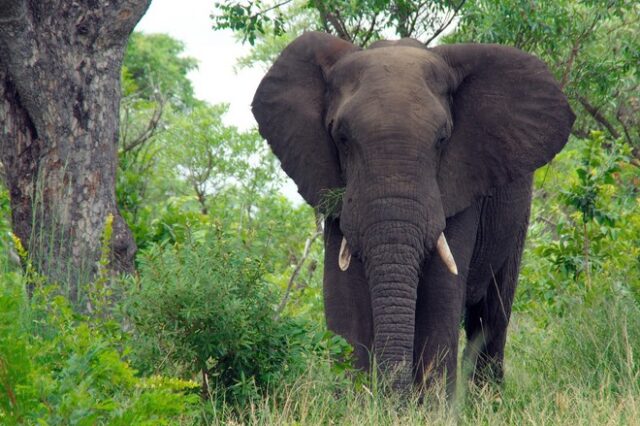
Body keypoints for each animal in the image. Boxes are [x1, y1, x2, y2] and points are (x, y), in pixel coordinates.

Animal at [251, 31, 576, 394]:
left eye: (443, 139)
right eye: (342, 138)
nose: (392, 395)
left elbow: (440, 292)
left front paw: (431, 405)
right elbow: (343, 295)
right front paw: (355, 402)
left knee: (492, 313)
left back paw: (487, 399)